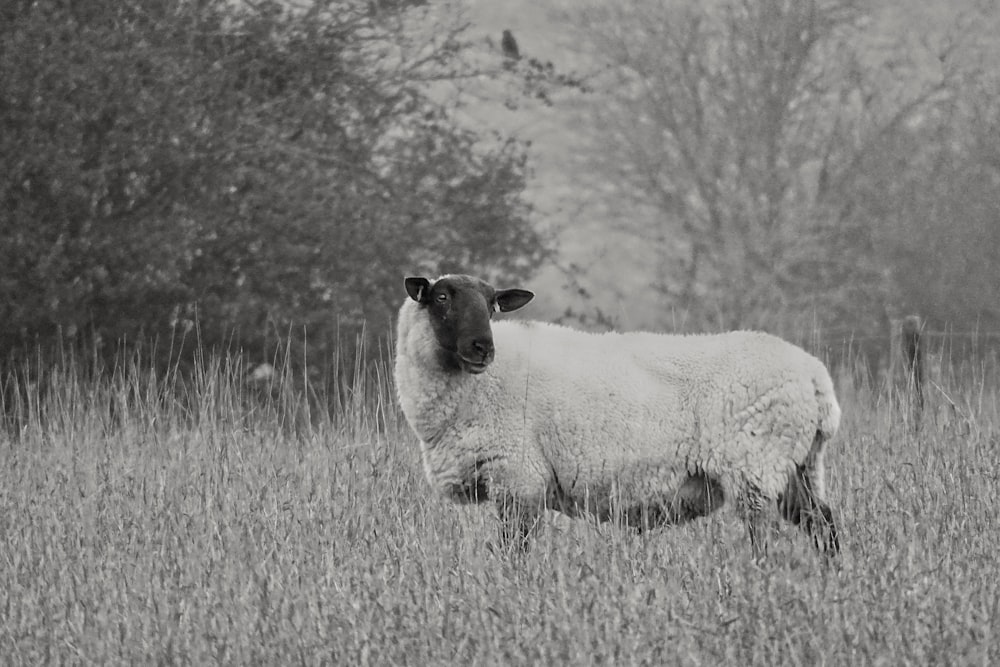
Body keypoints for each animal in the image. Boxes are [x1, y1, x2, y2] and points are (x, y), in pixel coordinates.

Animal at [394, 272, 840, 560]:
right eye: (441, 299)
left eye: (492, 305)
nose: (482, 348)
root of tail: (816, 378)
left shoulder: (518, 477)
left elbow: (513, 549)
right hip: (799, 466)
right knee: (824, 525)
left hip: (754, 467)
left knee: (764, 537)